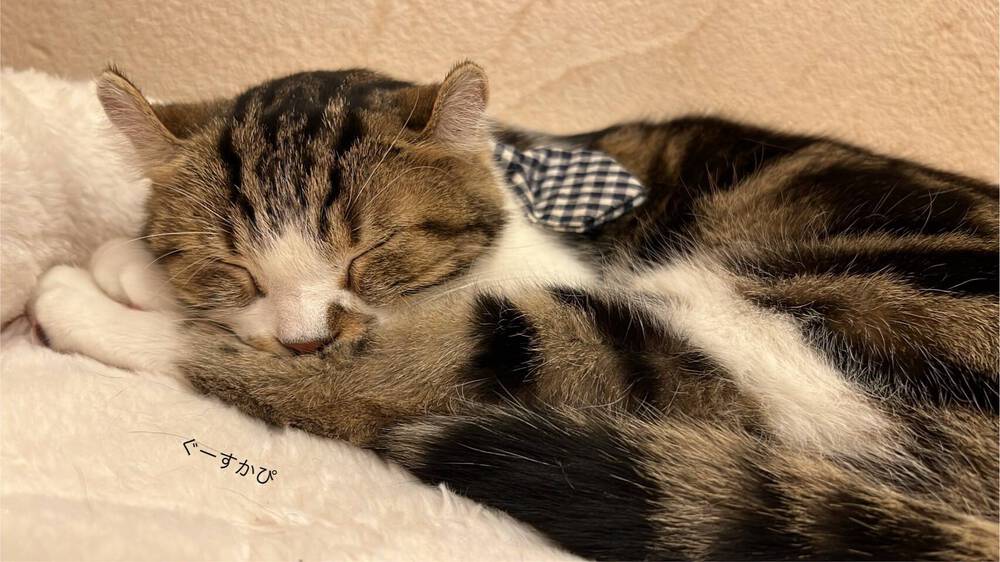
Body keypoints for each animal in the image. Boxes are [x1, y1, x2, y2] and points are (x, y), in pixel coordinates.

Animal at [30, 62, 999, 560]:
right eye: (229, 267)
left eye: (371, 254)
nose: (305, 337)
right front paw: (136, 264)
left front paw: (100, 288)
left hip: (786, 324)